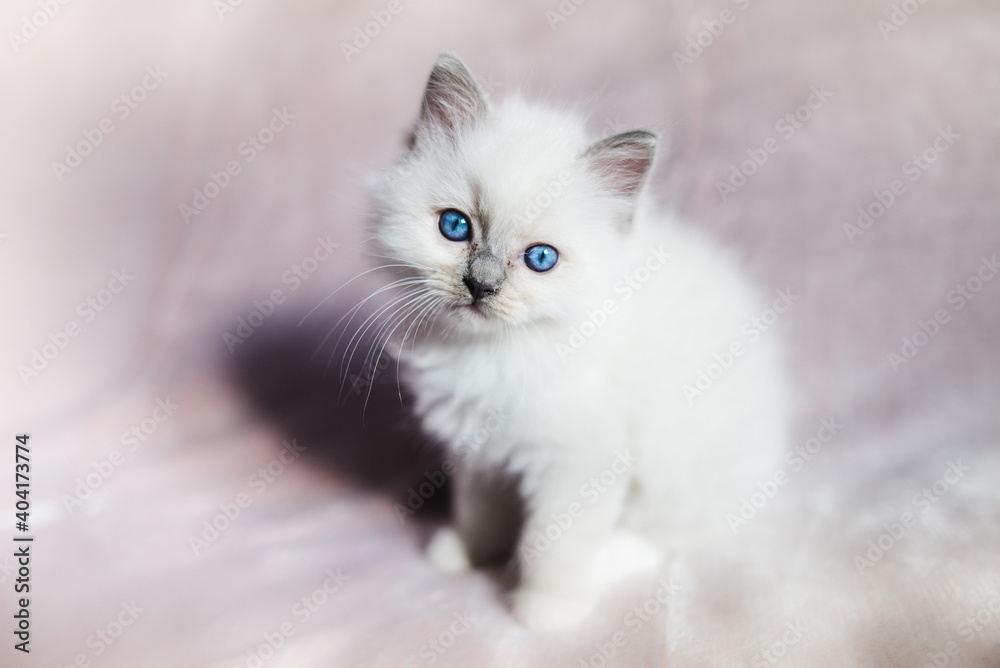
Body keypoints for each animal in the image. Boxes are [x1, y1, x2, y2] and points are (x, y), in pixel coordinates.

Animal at [368, 53, 788, 632]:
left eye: (540, 259)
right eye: (455, 227)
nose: (480, 285)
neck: (493, 355)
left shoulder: (579, 464)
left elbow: (553, 544)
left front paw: (543, 612)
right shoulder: (479, 450)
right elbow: (479, 511)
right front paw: (471, 555)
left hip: (679, 465)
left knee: (672, 536)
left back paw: (605, 565)